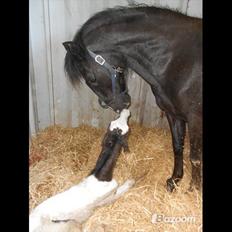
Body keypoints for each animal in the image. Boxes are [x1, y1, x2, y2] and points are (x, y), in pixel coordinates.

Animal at [62, 5, 202, 192]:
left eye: (91, 78)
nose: (120, 105)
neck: (178, 60)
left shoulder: (195, 119)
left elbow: (195, 157)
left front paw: (194, 189)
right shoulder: (173, 114)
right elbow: (178, 147)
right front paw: (174, 180)